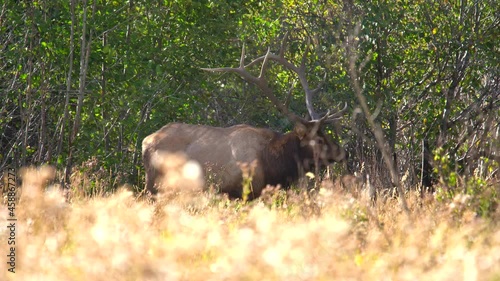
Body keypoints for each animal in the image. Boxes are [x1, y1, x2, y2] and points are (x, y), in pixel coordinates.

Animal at [142, 36, 348, 199]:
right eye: (319, 140)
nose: (342, 152)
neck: (273, 162)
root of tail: (145, 142)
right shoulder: (241, 191)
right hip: (156, 185)